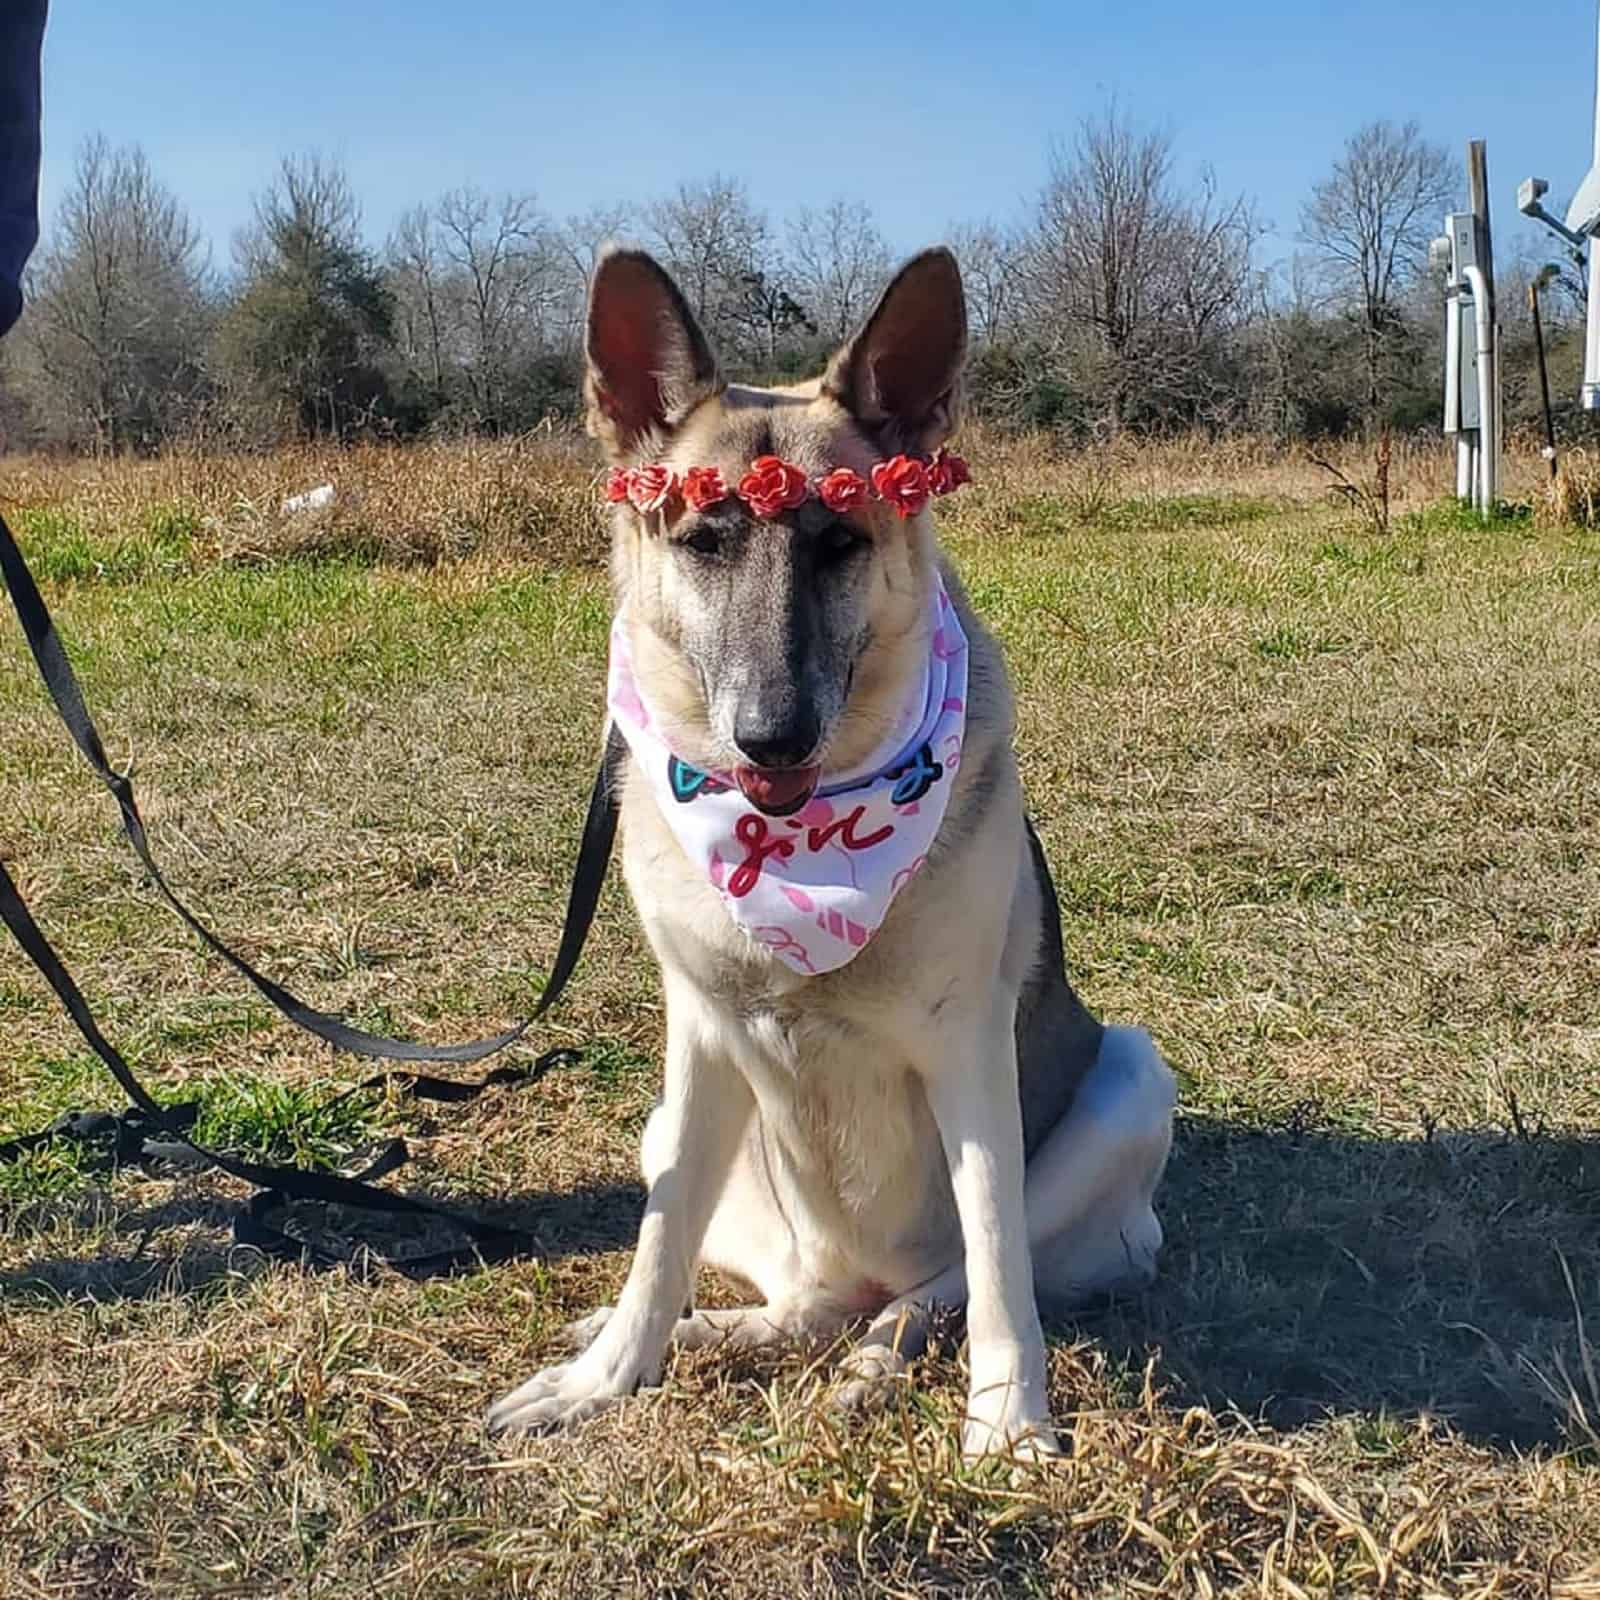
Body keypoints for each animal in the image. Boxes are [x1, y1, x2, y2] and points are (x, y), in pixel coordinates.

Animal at [486, 243, 1177, 1459]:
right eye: (703, 541)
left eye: (842, 543)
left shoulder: (969, 1053)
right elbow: (658, 1244)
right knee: (793, 1300)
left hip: (1134, 1078)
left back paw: (876, 1356)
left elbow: (997, 1265)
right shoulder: (699, 1040)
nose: (770, 736)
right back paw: (710, 1331)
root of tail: (854, 1276)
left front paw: (1008, 1421)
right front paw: (608, 1376)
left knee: (939, 1285)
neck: (803, 855)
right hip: (675, 1135)